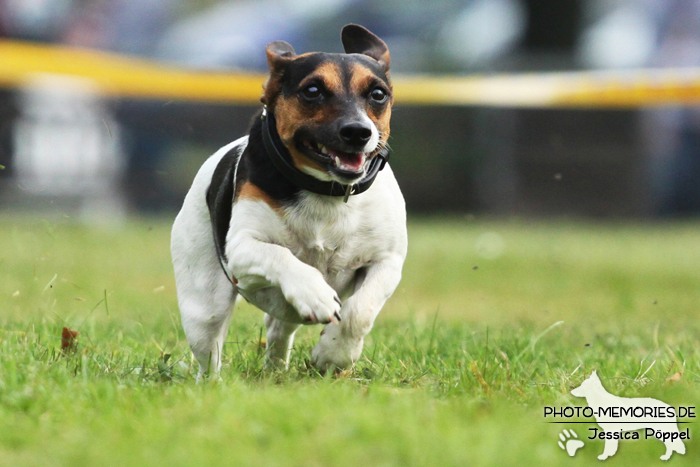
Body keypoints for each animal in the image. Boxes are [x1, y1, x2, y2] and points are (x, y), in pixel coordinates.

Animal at [171, 23, 404, 378]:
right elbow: (279, 255)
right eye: (313, 91)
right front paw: (316, 294)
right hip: (204, 305)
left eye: (377, 94)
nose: (357, 131)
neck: (326, 190)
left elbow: (359, 311)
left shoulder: (387, 261)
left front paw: (333, 353)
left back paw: (276, 371)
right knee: (210, 352)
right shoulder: (241, 249)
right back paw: (214, 382)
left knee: (279, 328)